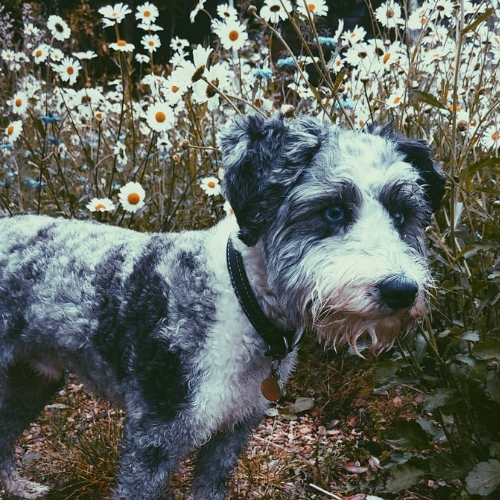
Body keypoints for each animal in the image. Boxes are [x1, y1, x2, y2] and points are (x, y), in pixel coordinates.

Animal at [0, 111, 446, 498]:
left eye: (402, 215)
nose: (401, 290)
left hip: (33, 377)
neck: (240, 297)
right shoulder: (153, 440)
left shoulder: (233, 431)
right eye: (333, 211)